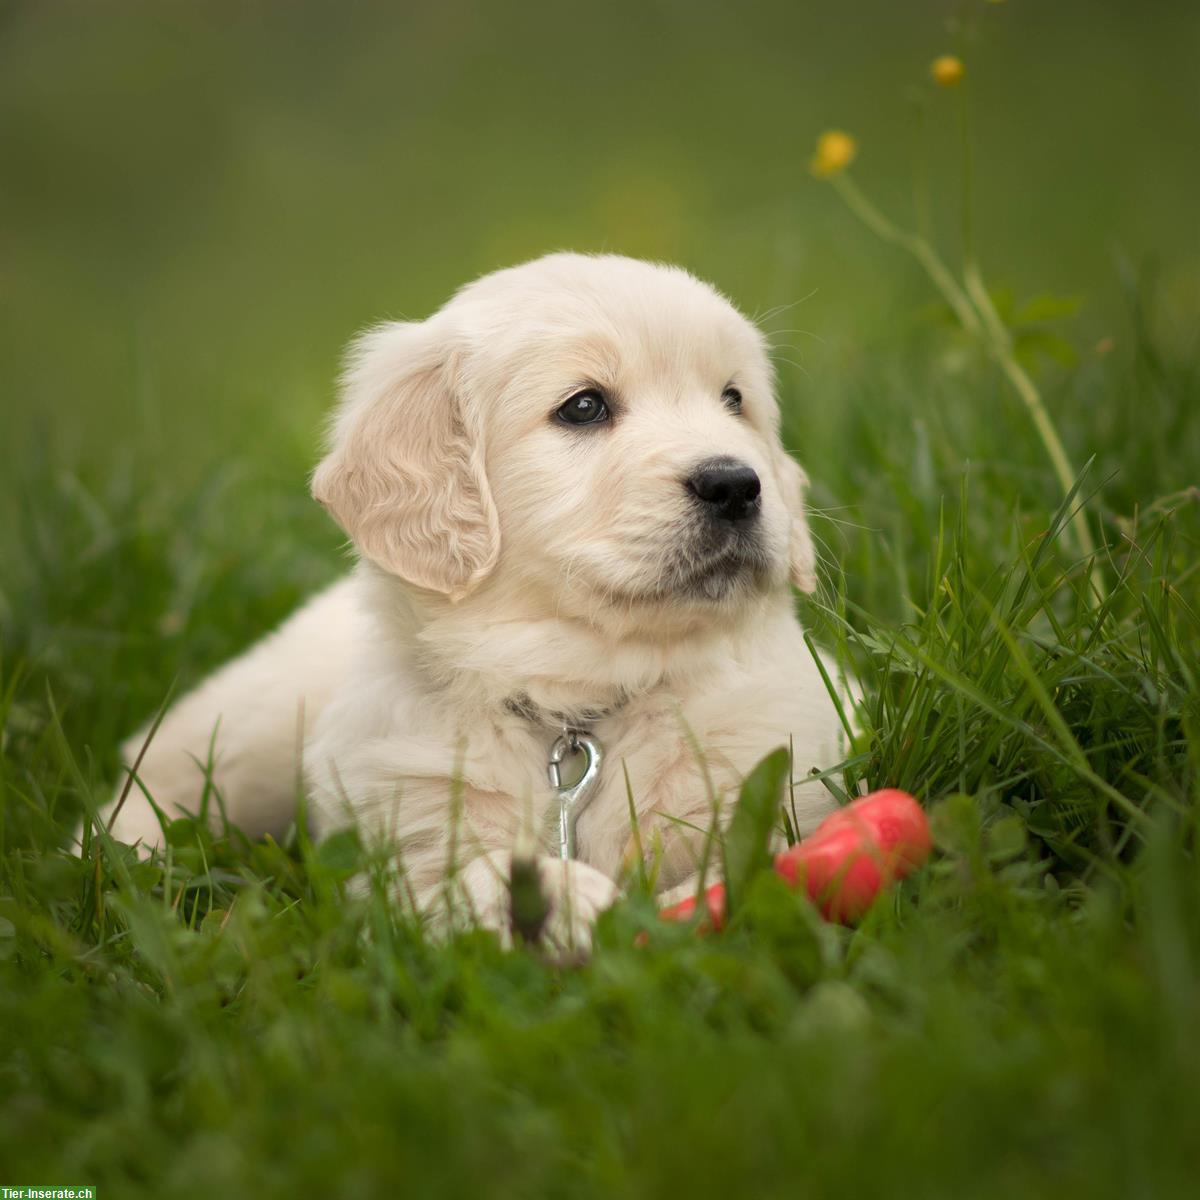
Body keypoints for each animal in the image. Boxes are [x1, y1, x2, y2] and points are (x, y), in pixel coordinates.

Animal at [105, 253, 844, 945]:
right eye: (584, 407)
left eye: (734, 401)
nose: (736, 485)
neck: (582, 703)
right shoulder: (406, 845)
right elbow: (469, 877)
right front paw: (564, 897)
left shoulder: (787, 783)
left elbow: (746, 867)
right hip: (257, 721)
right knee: (155, 764)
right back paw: (116, 855)